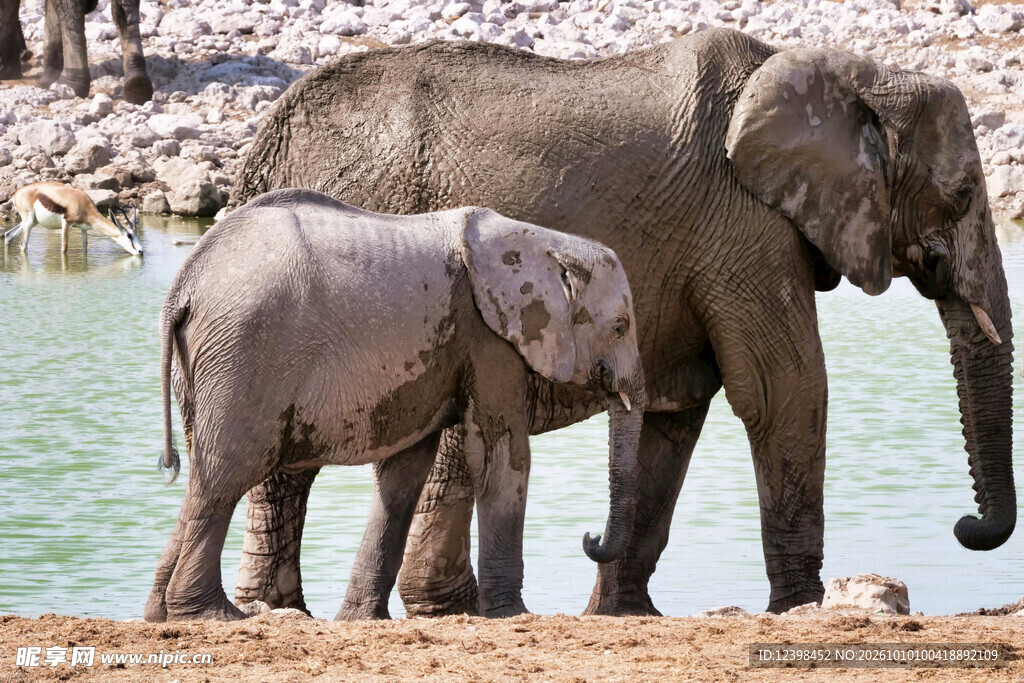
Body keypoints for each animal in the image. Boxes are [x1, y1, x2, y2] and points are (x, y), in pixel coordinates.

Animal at [0, 0, 152, 103]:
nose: (26, 54)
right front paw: (48, 79)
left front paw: (6, 73)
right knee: (125, 8)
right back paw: (137, 85)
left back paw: (71, 85)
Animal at [144, 189, 647, 622]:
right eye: (620, 326)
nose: (589, 535)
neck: (546, 242)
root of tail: (181, 290)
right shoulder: (489, 336)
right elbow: (502, 455)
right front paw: (512, 614)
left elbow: (405, 472)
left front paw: (361, 619)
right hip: (245, 352)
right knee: (227, 475)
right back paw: (212, 614)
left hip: (209, 362)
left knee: (202, 477)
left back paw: (160, 615)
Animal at [227, 29, 1015, 616]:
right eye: (961, 195)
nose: (965, 527)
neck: (860, 75)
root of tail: (261, 151)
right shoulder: (745, 226)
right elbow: (783, 389)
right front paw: (800, 607)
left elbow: (677, 412)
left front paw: (623, 612)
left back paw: (283, 608)